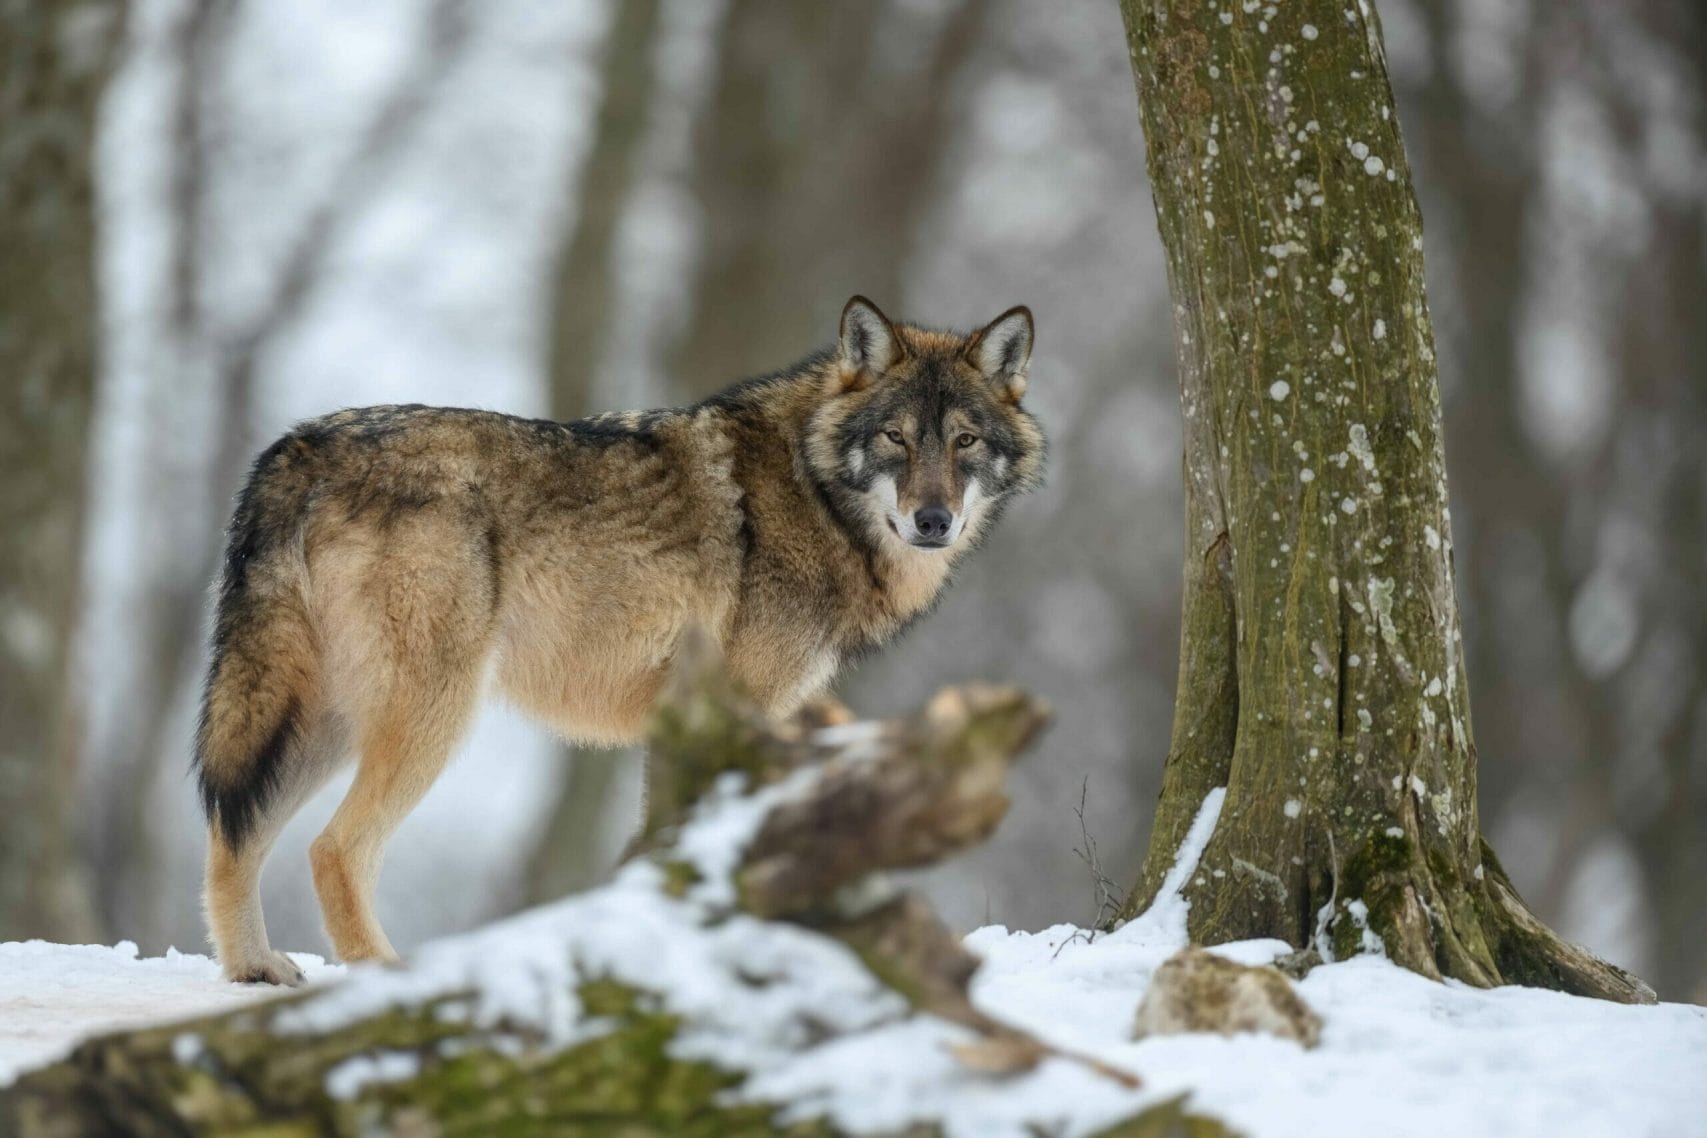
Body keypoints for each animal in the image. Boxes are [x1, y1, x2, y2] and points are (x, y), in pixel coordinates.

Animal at [194, 296, 1045, 984]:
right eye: (896, 438)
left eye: (964, 441)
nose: (931, 521)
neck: (815, 491)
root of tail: (298, 446)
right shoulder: (727, 714)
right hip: (429, 715)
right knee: (332, 850)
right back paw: (382, 978)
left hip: (321, 720)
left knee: (233, 835)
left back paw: (254, 970)